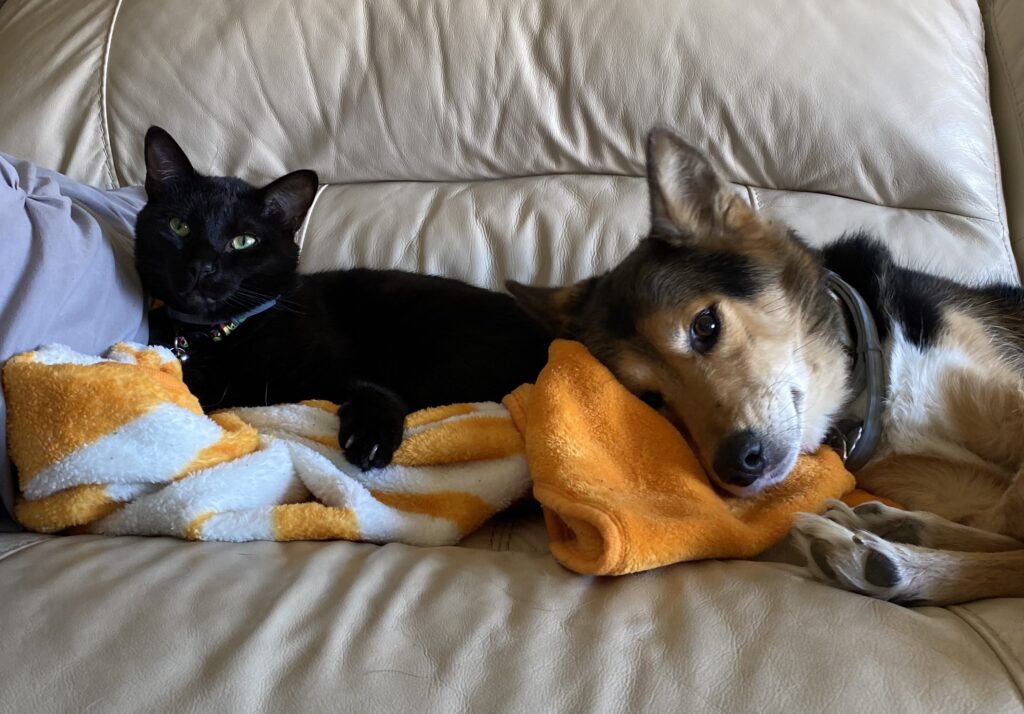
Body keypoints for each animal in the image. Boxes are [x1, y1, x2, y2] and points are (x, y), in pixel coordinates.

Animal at [138, 125, 552, 471]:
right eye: (179, 226)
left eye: (244, 241)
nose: (202, 267)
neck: (218, 333)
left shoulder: (335, 366)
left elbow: (372, 389)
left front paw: (370, 438)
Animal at [507, 126, 1024, 602]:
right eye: (652, 399)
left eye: (706, 326)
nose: (738, 466)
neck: (877, 378)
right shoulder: (948, 484)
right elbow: (1007, 525)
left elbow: (1013, 510)